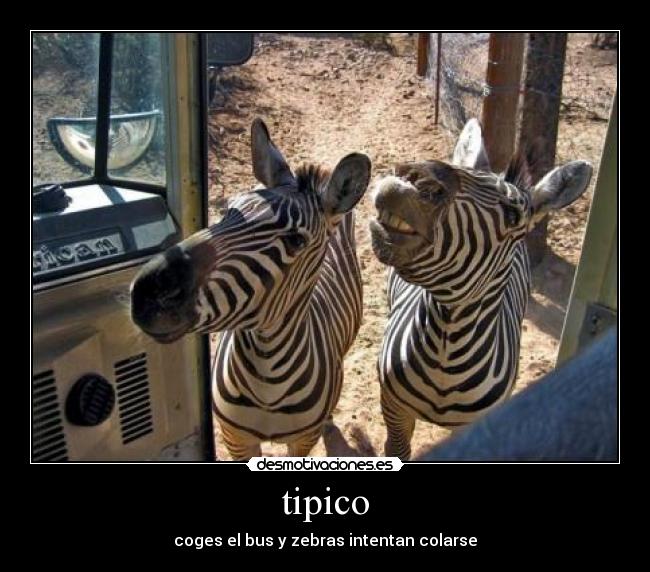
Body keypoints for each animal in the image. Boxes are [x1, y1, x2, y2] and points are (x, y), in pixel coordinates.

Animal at [130, 118, 371, 460]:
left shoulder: (302, 441)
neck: (266, 380)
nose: (148, 292)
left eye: (295, 241)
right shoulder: (235, 438)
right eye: (227, 209)